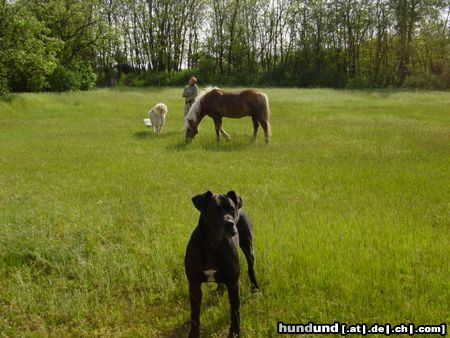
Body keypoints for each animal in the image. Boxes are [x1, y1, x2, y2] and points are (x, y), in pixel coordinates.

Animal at [184, 191, 260, 336]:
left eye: (231, 209)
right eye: (215, 209)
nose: (229, 223)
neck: (212, 244)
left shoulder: (233, 283)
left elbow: (235, 312)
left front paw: (234, 333)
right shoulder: (194, 285)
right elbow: (194, 316)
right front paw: (193, 334)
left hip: (248, 248)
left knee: (251, 269)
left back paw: (255, 288)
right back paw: (219, 290)